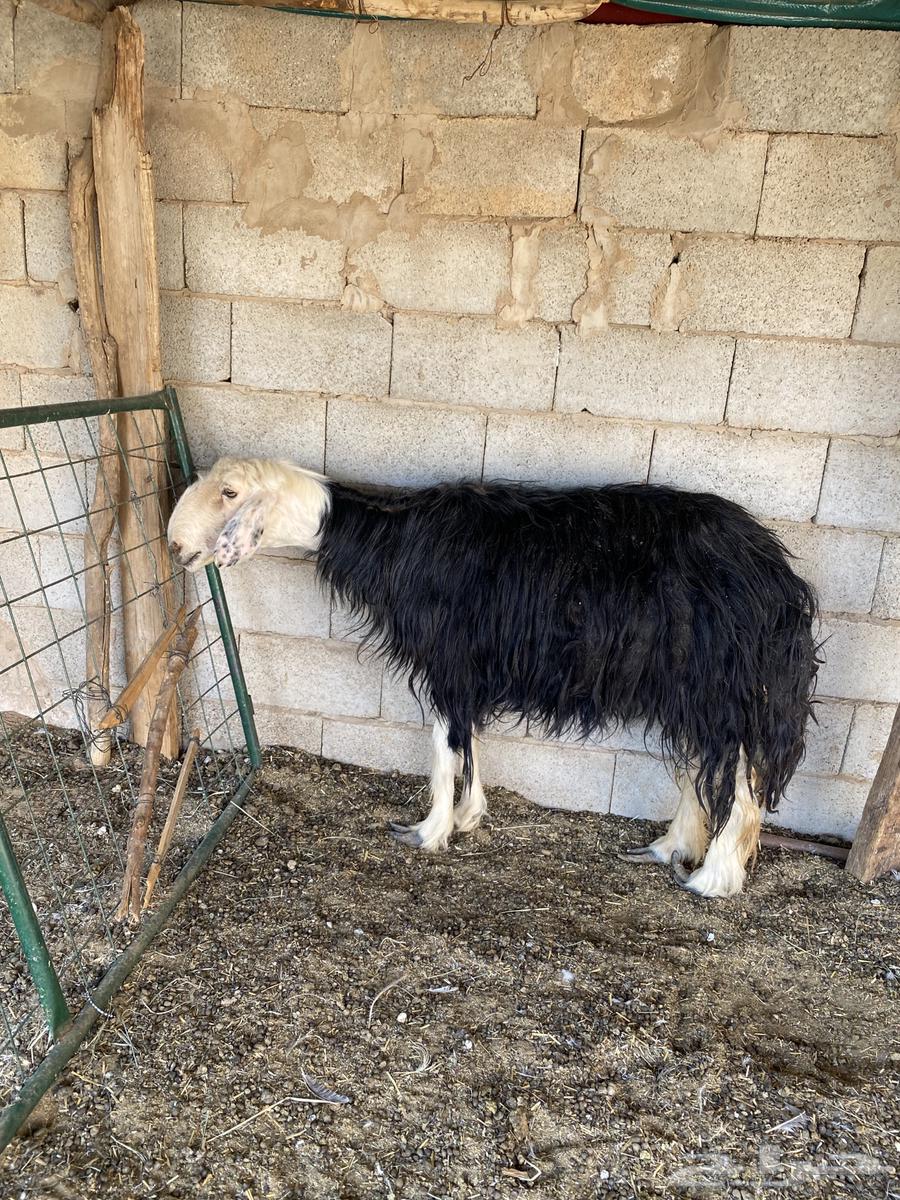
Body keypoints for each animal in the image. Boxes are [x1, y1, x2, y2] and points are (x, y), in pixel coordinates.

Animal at [167, 456, 820, 898]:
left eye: (229, 492)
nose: (175, 546)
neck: (391, 540)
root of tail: (777, 577)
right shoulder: (466, 667)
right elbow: (468, 741)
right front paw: (467, 816)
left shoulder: (448, 659)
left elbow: (443, 744)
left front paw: (428, 832)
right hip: (688, 687)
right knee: (700, 763)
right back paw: (668, 847)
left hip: (726, 688)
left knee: (740, 777)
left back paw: (713, 877)